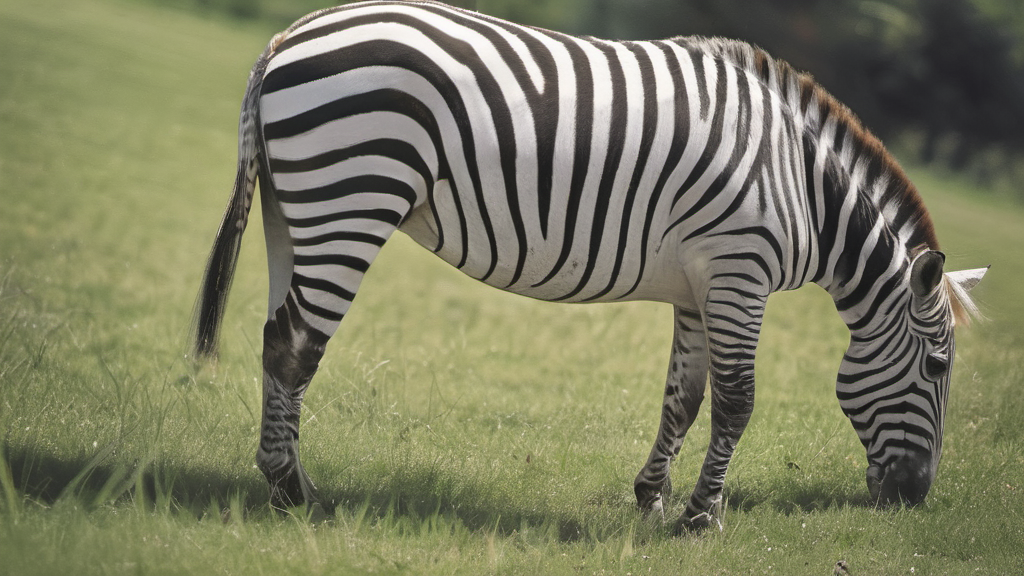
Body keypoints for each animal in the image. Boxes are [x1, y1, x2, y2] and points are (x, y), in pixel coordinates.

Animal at [190, 0, 983, 528]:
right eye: (939, 367)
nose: (915, 499)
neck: (804, 189)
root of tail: (290, 32)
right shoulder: (740, 271)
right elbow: (737, 400)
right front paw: (701, 519)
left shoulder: (699, 287)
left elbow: (683, 397)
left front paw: (652, 499)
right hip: (350, 200)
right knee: (295, 347)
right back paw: (294, 495)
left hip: (295, 212)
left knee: (277, 336)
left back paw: (282, 479)